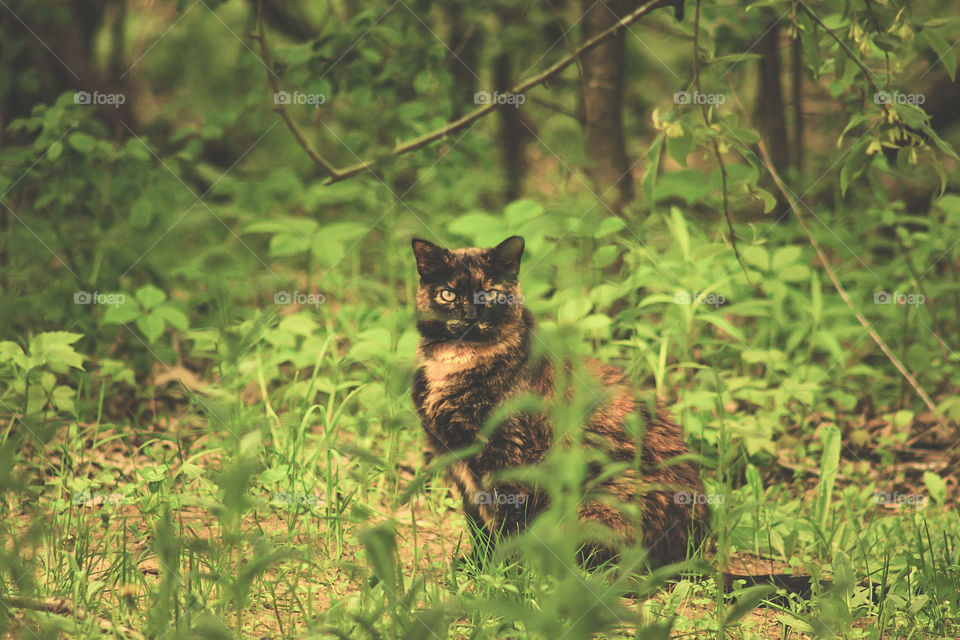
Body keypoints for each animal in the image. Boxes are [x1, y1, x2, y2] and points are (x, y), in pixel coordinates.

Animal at [408, 235, 708, 564]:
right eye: (447, 294)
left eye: (490, 294)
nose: (470, 317)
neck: (456, 364)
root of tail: (694, 545)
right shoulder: (456, 460)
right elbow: (478, 522)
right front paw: (477, 563)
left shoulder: (512, 456)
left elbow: (508, 523)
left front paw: (502, 570)